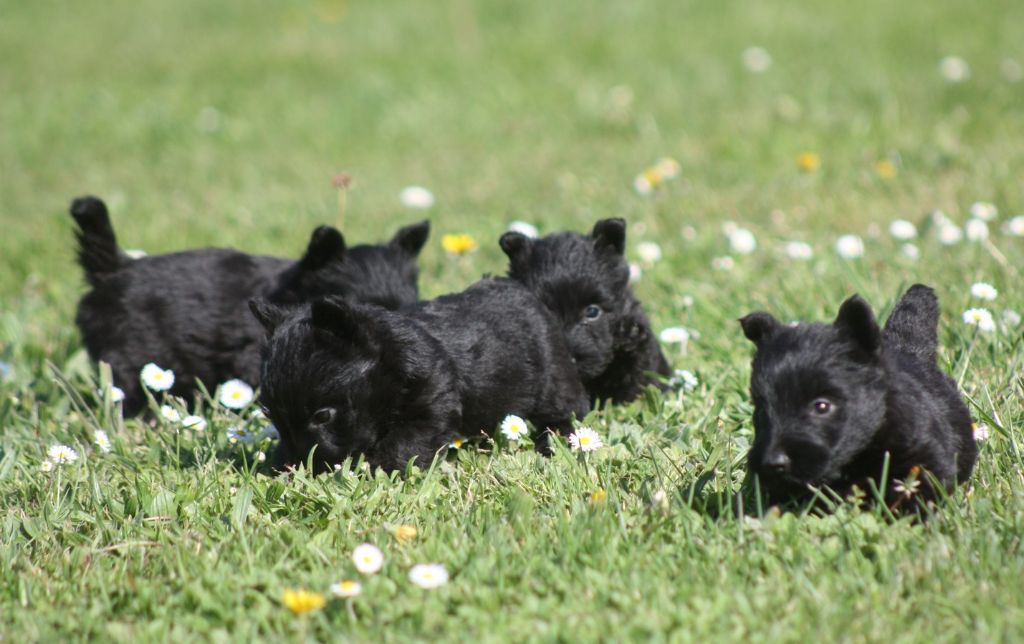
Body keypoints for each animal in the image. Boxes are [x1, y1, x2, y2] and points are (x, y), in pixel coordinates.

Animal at [247, 278, 593, 473]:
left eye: (323, 415)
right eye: (267, 412)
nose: (297, 465)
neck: (392, 361)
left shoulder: (431, 405)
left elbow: (403, 445)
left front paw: (378, 473)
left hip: (554, 380)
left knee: (566, 411)